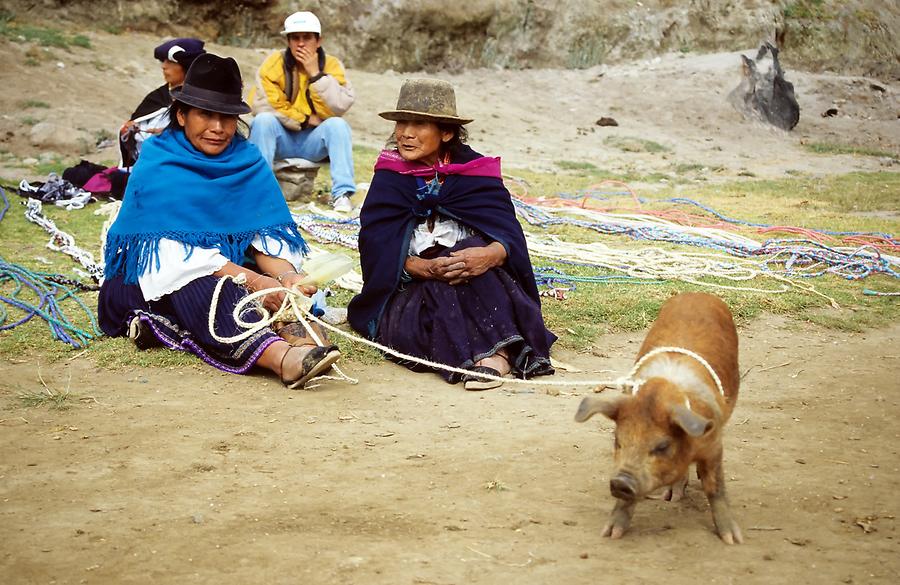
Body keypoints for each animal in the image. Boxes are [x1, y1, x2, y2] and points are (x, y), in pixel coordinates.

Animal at [576, 292, 744, 544]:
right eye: (618, 441)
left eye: (662, 446)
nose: (620, 482)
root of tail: (697, 293)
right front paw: (610, 534)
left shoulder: (714, 443)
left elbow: (715, 487)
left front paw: (732, 539)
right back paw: (671, 496)